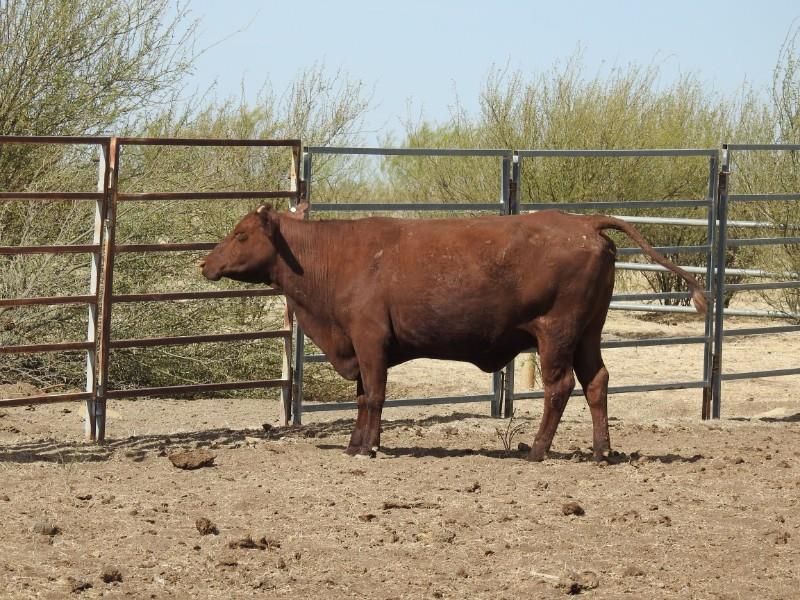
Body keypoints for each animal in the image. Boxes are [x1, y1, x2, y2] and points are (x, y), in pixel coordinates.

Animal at [201, 203, 706, 461]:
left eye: (241, 234)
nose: (206, 263)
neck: (336, 256)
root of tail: (582, 222)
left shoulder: (369, 340)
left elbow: (373, 396)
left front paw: (366, 447)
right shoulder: (361, 347)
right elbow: (365, 396)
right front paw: (358, 443)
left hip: (557, 333)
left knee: (559, 386)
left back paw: (537, 450)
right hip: (588, 332)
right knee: (597, 382)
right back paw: (602, 450)